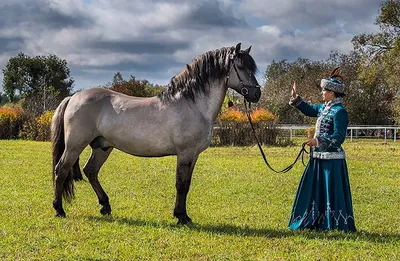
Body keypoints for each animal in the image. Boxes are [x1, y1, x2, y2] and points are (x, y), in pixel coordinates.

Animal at [50, 42, 262, 223]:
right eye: (241, 67)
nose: (256, 94)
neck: (192, 104)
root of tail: (73, 97)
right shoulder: (185, 154)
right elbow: (181, 184)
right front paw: (181, 217)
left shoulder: (193, 155)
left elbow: (187, 184)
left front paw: (183, 215)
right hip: (75, 145)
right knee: (61, 170)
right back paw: (59, 210)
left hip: (102, 147)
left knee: (91, 171)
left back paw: (105, 206)